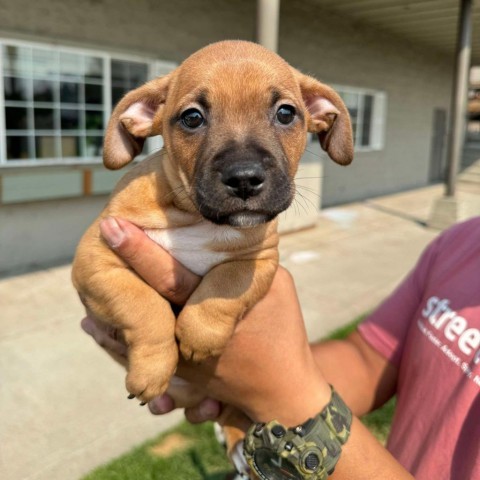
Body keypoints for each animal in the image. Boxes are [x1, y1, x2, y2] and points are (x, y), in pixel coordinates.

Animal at [73, 41, 354, 408]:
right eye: (192, 118)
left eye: (286, 113)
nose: (245, 178)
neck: (194, 217)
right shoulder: (96, 258)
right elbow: (143, 306)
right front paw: (152, 369)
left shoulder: (260, 258)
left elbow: (225, 283)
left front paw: (199, 333)